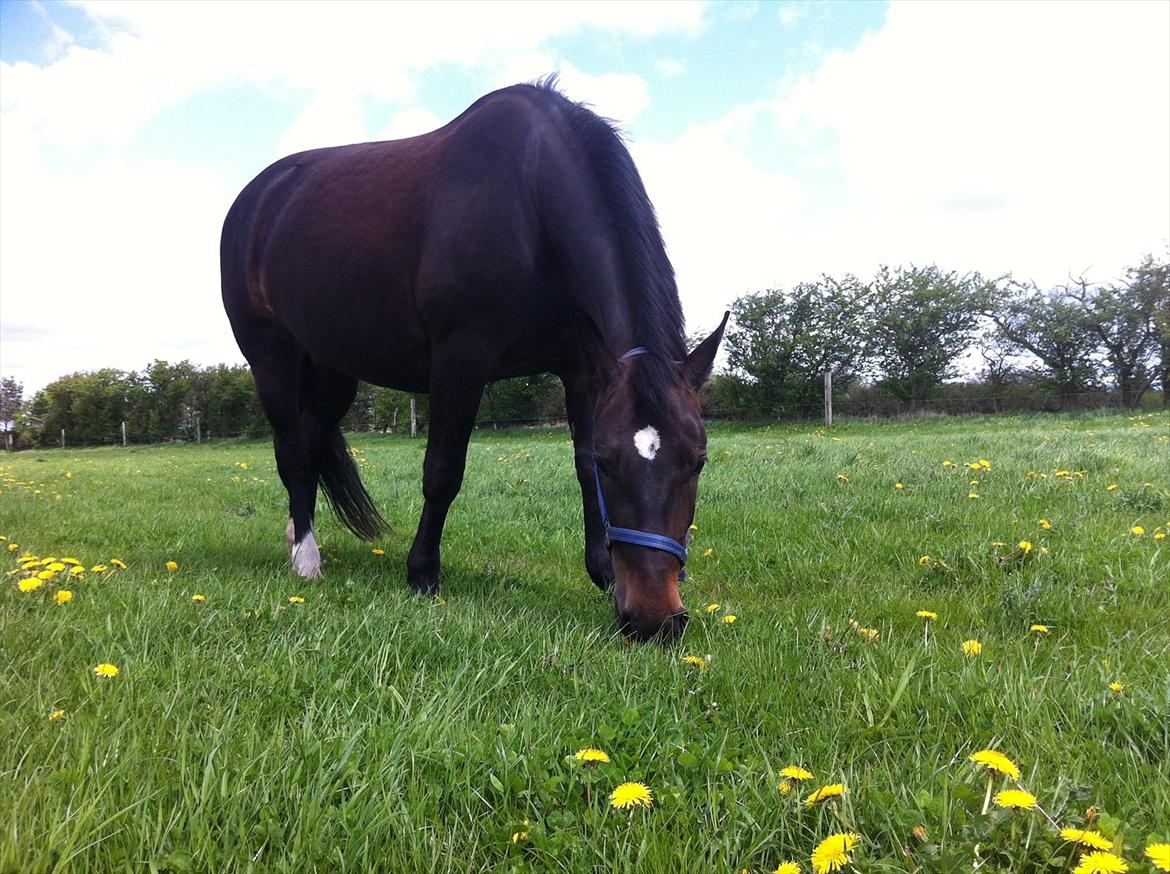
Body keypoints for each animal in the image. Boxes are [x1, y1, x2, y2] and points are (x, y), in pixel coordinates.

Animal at [219, 80, 720, 641]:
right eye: (612, 462)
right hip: (272, 357)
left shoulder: (584, 370)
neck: (531, 199)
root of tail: (258, 198)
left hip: (332, 373)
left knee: (309, 445)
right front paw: (422, 573)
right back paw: (307, 560)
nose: (655, 620)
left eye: (698, 460)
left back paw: (296, 533)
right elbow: (443, 470)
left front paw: (602, 572)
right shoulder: (461, 359)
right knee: (291, 452)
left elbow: (578, 465)